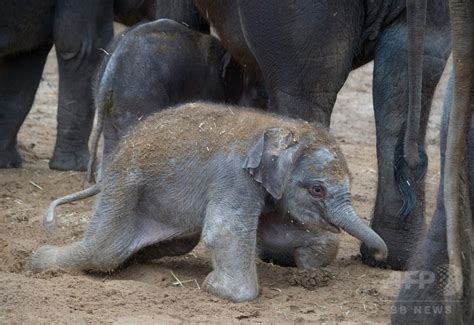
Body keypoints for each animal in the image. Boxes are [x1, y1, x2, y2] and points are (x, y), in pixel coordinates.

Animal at [34, 102, 388, 302]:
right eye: (317, 190)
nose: (381, 255)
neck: (284, 128)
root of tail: (108, 169)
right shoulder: (234, 177)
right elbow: (225, 231)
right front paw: (216, 289)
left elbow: (272, 233)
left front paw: (308, 266)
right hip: (126, 185)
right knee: (103, 251)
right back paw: (39, 262)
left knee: (170, 243)